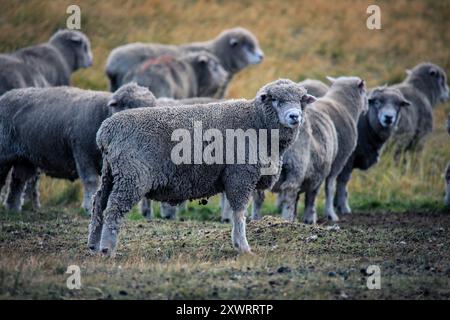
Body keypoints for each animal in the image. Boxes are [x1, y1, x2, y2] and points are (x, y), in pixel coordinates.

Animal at [0, 82, 156, 212]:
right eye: (129, 106)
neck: (103, 114)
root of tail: (5, 95)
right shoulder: (82, 152)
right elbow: (91, 180)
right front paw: (88, 207)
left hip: (25, 158)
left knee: (18, 180)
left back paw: (13, 209)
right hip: (4, 152)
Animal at [86, 79, 314, 255]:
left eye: (301, 100)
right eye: (275, 99)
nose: (295, 116)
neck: (257, 122)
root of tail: (106, 131)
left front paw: (238, 243)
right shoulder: (240, 175)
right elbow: (239, 212)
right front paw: (243, 247)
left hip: (111, 172)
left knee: (99, 203)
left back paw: (93, 245)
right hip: (132, 175)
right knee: (114, 208)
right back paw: (107, 249)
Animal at [251, 76, 368, 224]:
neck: (341, 105)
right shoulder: (334, 164)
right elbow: (323, 191)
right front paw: (319, 216)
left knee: (258, 195)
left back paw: (255, 220)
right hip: (297, 165)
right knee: (289, 190)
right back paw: (286, 219)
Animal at [334, 86, 412, 215]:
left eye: (398, 105)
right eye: (377, 102)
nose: (388, 117)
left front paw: (337, 204)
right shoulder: (348, 158)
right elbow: (343, 180)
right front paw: (344, 207)